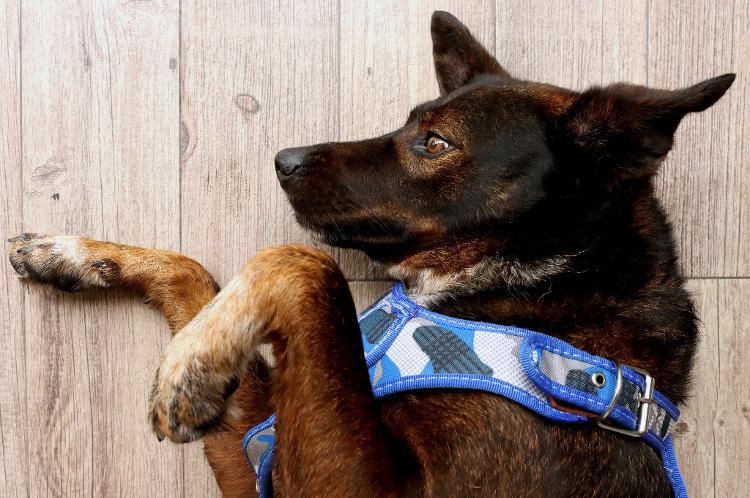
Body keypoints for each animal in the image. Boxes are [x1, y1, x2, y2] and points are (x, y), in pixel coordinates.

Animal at [5, 11, 736, 498]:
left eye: (435, 142)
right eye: (410, 121)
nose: (283, 159)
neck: (541, 290)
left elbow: (305, 266)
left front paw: (191, 366)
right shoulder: (258, 457)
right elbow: (197, 274)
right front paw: (70, 254)